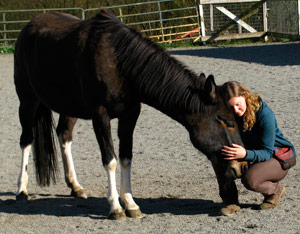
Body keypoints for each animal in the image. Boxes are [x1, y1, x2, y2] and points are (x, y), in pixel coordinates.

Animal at [13, 7, 246, 219]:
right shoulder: (100, 115)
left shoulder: (130, 115)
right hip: (27, 101)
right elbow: (110, 160)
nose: (241, 166)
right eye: (226, 121)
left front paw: (131, 204)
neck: (119, 62)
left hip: (69, 108)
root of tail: (29, 27)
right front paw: (116, 208)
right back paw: (22, 190)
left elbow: (126, 159)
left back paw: (75, 186)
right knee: (26, 140)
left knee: (64, 136)